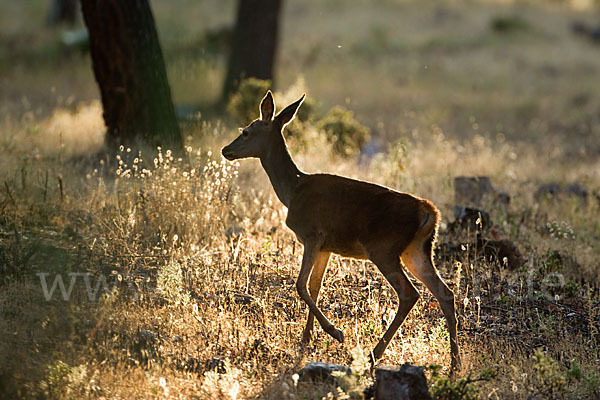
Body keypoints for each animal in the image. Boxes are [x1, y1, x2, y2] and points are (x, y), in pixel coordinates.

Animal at [221, 91, 460, 372]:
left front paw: (335, 332)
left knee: (409, 293)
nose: (226, 150)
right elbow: (314, 286)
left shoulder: (313, 234)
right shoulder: (326, 247)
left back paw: (374, 354)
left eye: (246, 131)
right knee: (445, 293)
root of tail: (428, 212)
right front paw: (306, 338)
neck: (292, 191)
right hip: (416, 251)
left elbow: (300, 284)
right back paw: (455, 362)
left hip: (384, 248)